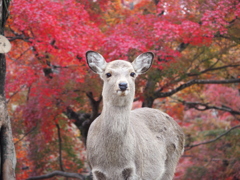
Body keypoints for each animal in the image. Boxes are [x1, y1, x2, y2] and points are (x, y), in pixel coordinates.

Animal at [85, 51, 185, 180]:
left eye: (132, 73)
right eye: (108, 74)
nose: (123, 85)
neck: (113, 162)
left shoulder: (136, 169)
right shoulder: (95, 170)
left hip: (171, 163)